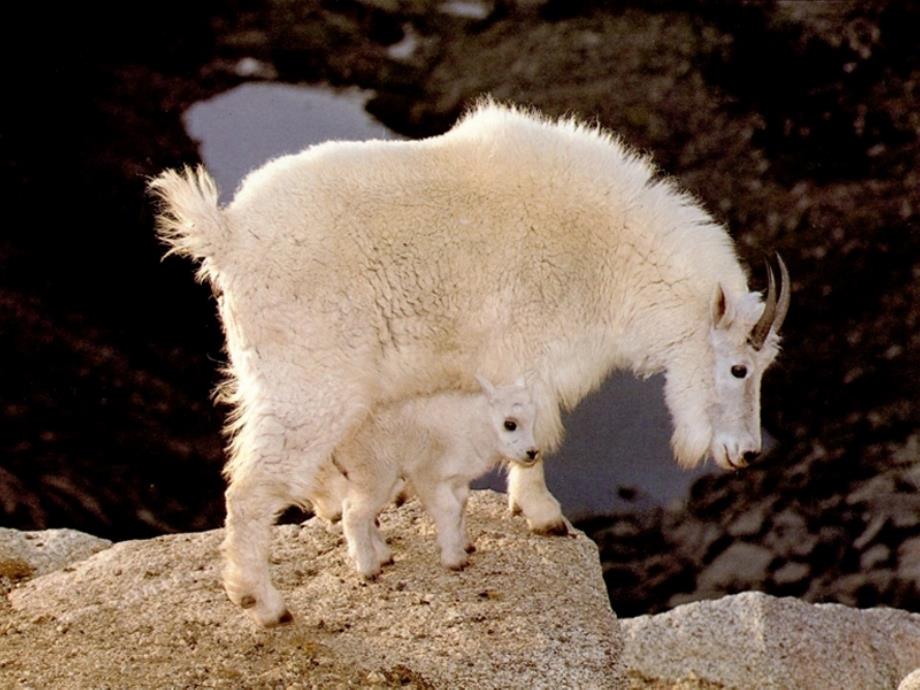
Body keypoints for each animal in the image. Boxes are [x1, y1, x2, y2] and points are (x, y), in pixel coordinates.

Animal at [338, 374, 540, 572]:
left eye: (533, 421)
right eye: (510, 424)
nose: (532, 453)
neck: (475, 429)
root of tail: (342, 444)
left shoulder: (457, 481)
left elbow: (460, 507)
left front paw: (464, 545)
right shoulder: (428, 475)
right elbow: (450, 510)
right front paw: (455, 560)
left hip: (376, 479)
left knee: (357, 509)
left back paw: (382, 556)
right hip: (375, 473)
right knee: (354, 514)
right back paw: (368, 568)